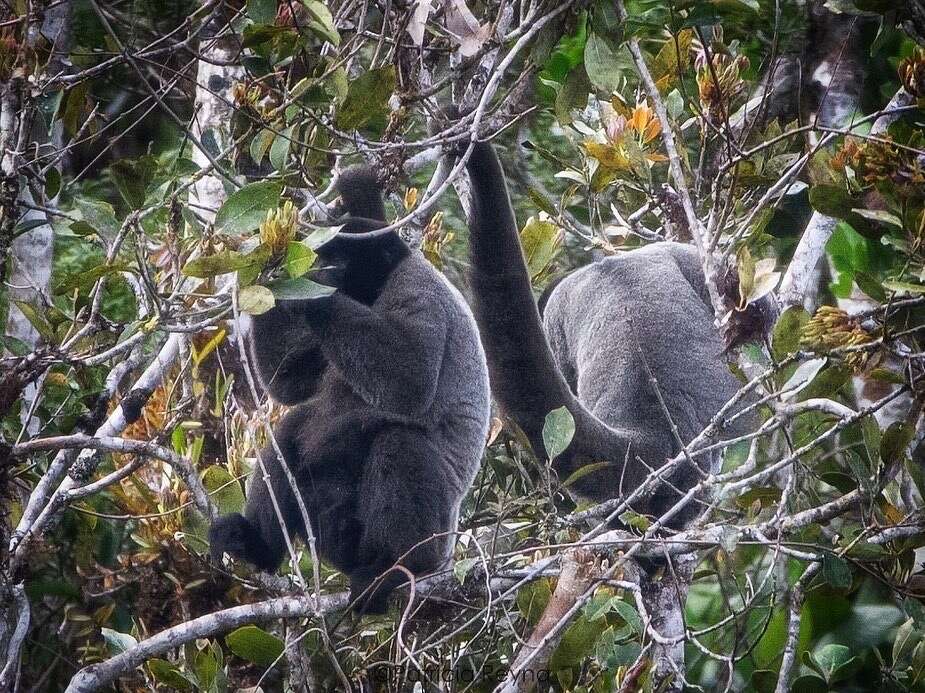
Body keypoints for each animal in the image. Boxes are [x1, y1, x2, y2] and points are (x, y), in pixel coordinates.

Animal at [209, 168, 490, 612]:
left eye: (337, 258)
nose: (320, 267)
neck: (374, 292)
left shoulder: (417, 290)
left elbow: (409, 383)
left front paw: (316, 296)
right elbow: (291, 384)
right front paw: (270, 264)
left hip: (437, 532)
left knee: (399, 442)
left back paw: (395, 568)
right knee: (292, 431)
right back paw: (257, 546)